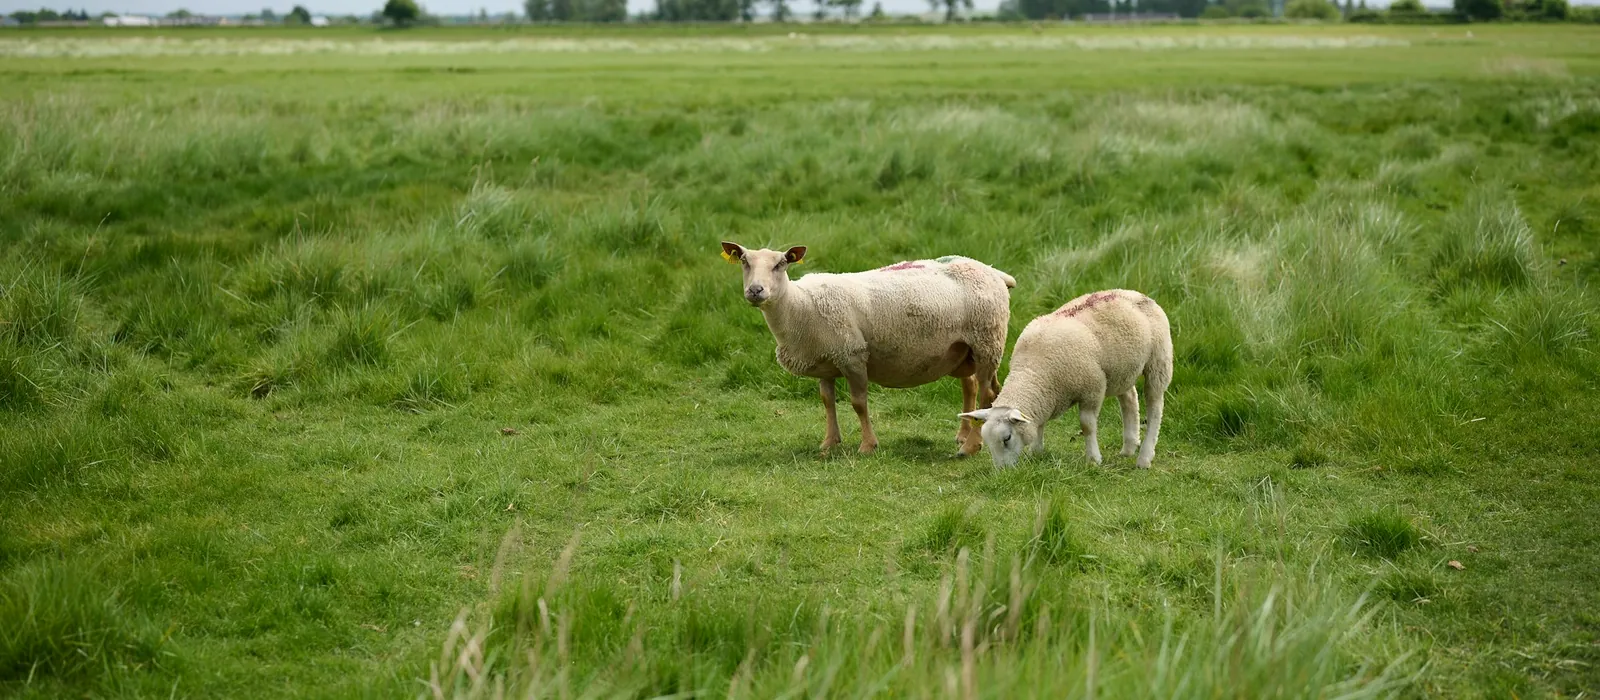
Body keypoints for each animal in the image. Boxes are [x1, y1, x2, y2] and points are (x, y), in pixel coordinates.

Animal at [720, 242, 1016, 456]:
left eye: (780, 264)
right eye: (744, 261)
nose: (755, 290)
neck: (800, 305)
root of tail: (992, 270)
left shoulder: (852, 355)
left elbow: (858, 403)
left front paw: (867, 446)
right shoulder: (826, 364)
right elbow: (827, 401)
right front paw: (829, 443)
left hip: (987, 340)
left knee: (986, 394)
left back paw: (970, 447)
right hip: (964, 350)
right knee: (973, 386)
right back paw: (965, 435)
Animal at [959, 289, 1171, 469]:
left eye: (1006, 438)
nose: (1002, 472)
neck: (1032, 372)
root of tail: (1137, 294)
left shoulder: (1092, 389)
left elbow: (1087, 426)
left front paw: (1093, 459)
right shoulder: (1045, 396)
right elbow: (1040, 423)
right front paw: (1036, 452)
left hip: (1158, 361)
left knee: (1155, 407)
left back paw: (1144, 457)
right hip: (1122, 369)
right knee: (1129, 399)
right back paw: (1128, 447)